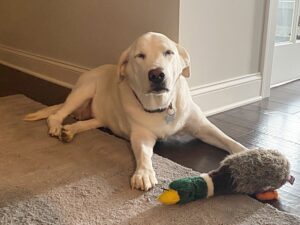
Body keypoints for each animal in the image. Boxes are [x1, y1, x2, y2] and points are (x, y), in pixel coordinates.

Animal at [24, 31, 247, 190]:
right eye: (140, 56)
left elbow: (227, 139)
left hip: (101, 117)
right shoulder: (141, 135)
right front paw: (144, 174)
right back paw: (56, 126)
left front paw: (247, 152)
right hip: (83, 90)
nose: (157, 74)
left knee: (85, 122)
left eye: (169, 52)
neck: (162, 106)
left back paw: (70, 130)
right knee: (57, 114)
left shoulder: (202, 127)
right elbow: (144, 154)